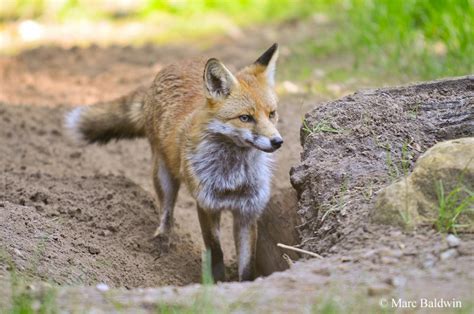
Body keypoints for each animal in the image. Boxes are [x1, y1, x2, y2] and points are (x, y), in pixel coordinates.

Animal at [65, 43, 284, 280]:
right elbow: (216, 252)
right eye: (245, 118)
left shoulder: (247, 212)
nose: (277, 141)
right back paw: (161, 240)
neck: (232, 176)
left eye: (272, 114)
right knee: (166, 212)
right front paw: (215, 283)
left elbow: (247, 266)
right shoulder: (206, 204)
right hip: (163, 176)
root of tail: (174, 64)